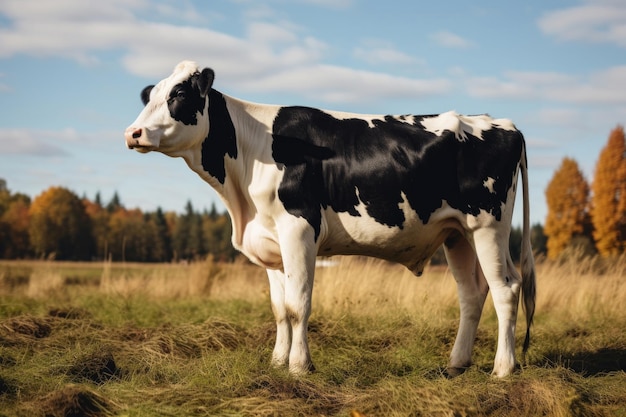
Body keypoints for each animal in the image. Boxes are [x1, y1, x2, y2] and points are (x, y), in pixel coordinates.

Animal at [124, 61, 532, 376]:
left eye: (179, 95)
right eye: (151, 96)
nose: (133, 132)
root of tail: (504, 124)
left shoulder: (298, 230)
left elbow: (298, 305)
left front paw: (299, 366)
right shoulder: (272, 241)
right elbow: (279, 309)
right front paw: (277, 362)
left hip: (488, 225)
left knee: (506, 289)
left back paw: (502, 369)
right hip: (457, 233)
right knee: (472, 293)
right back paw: (457, 364)